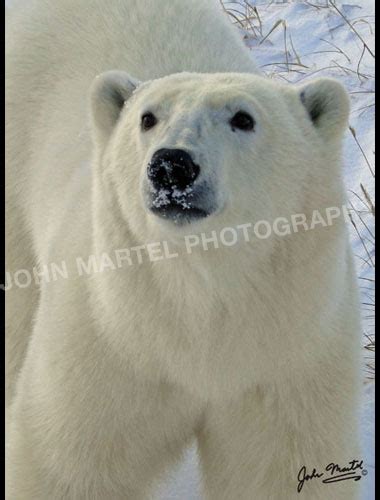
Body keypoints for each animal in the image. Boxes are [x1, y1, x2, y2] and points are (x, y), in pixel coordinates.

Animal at [5, 0, 362, 500]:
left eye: (243, 118)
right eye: (147, 117)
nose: (171, 166)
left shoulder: (287, 351)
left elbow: (274, 467)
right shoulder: (110, 341)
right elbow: (68, 464)